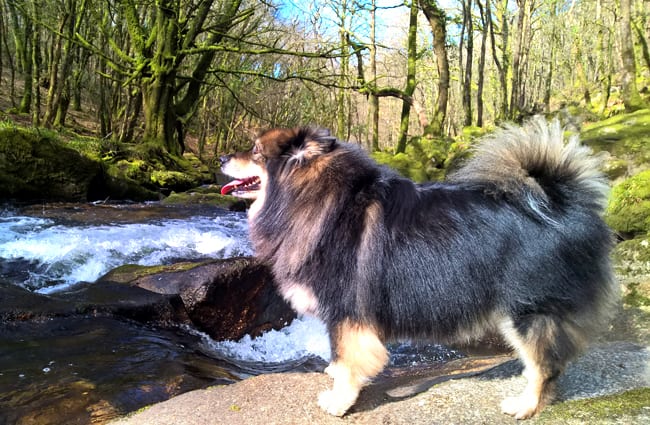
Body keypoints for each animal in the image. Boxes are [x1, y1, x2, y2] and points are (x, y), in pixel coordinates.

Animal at [220, 118, 616, 418]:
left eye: (255, 151)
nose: (222, 156)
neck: (312, 199)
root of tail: (564, 202)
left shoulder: (346, 311)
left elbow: (348, 359)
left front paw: (338, 401)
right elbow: (341, 357)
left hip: (529, 310)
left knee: (544, 366)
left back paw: (525, 406)